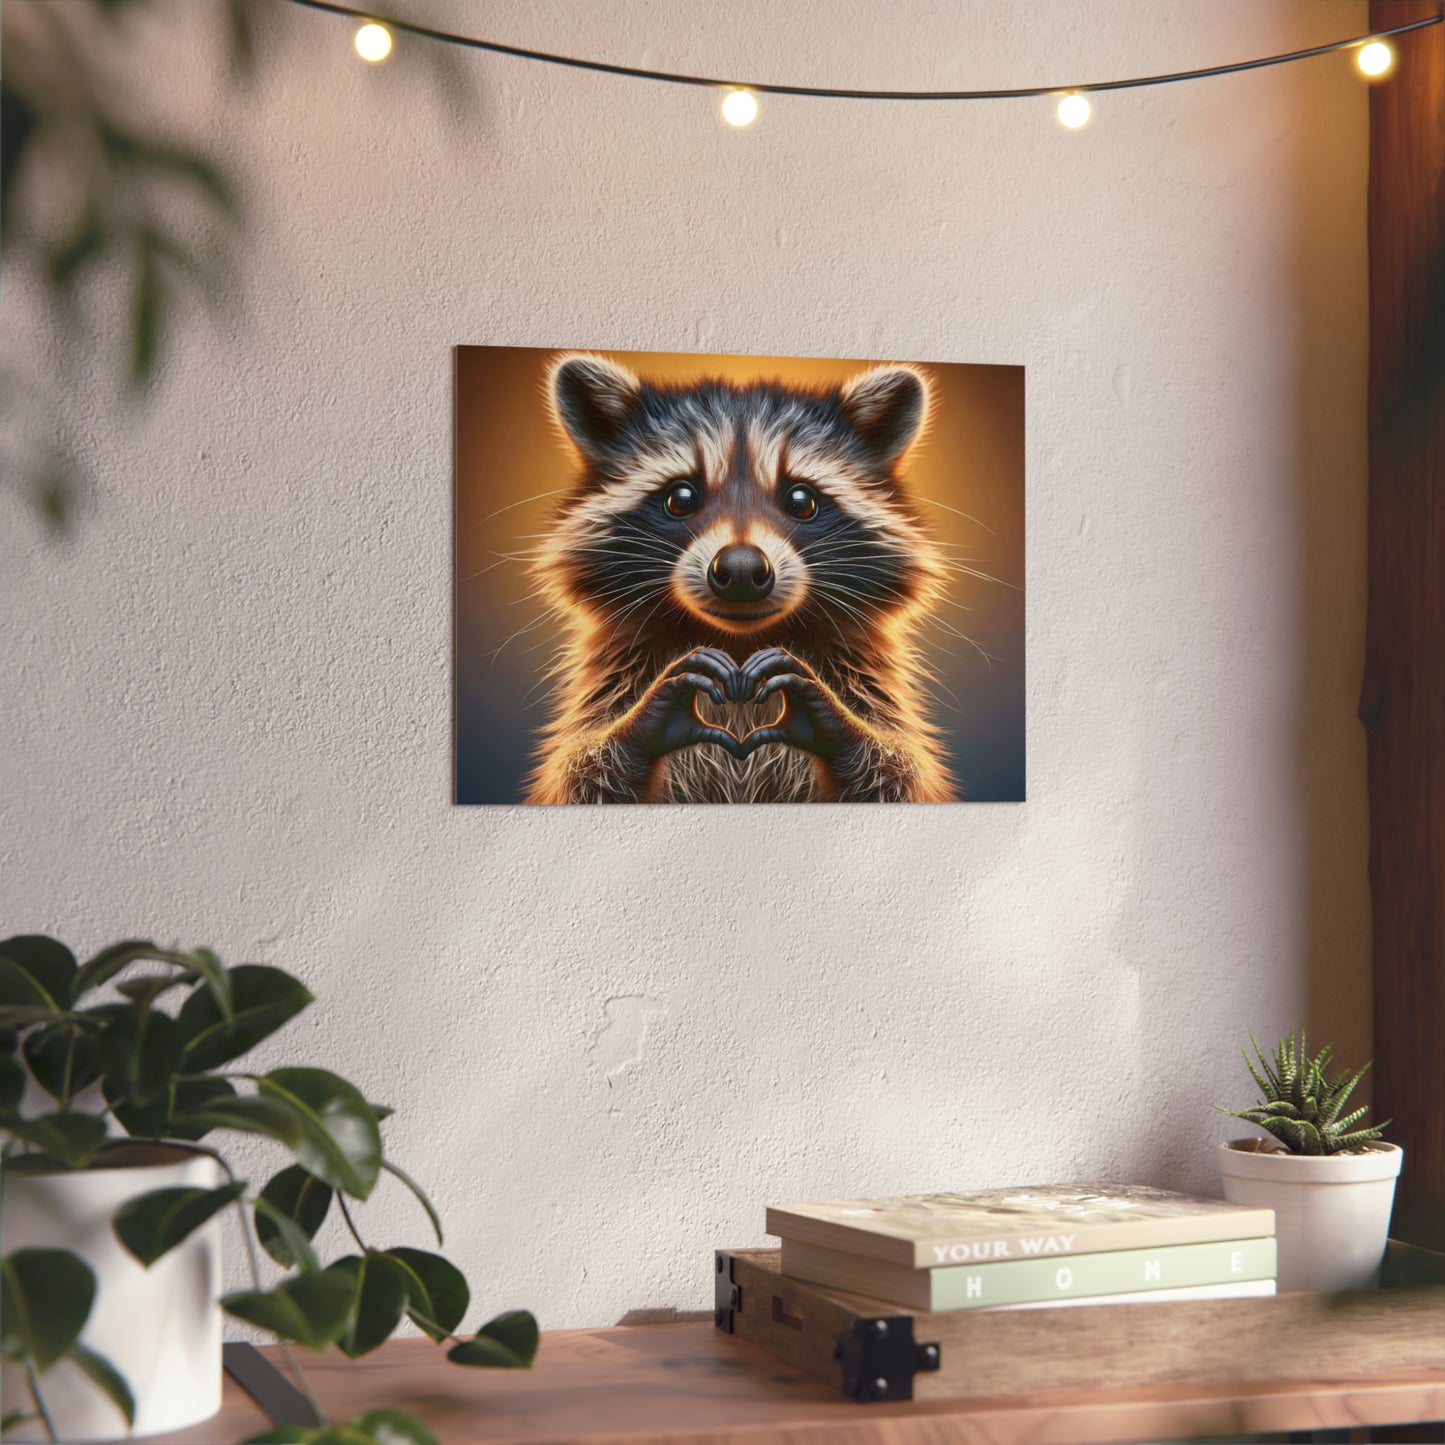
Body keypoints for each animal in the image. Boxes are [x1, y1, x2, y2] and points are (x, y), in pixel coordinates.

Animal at [523, 354, 958, 804]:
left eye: (801, 500)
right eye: (681, 497)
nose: (742, 570)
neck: (740, 644)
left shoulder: (864, 677)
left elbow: (897, 775)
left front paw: (835, 720)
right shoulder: (615, 675)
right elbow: (582, 777)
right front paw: (643, 720)